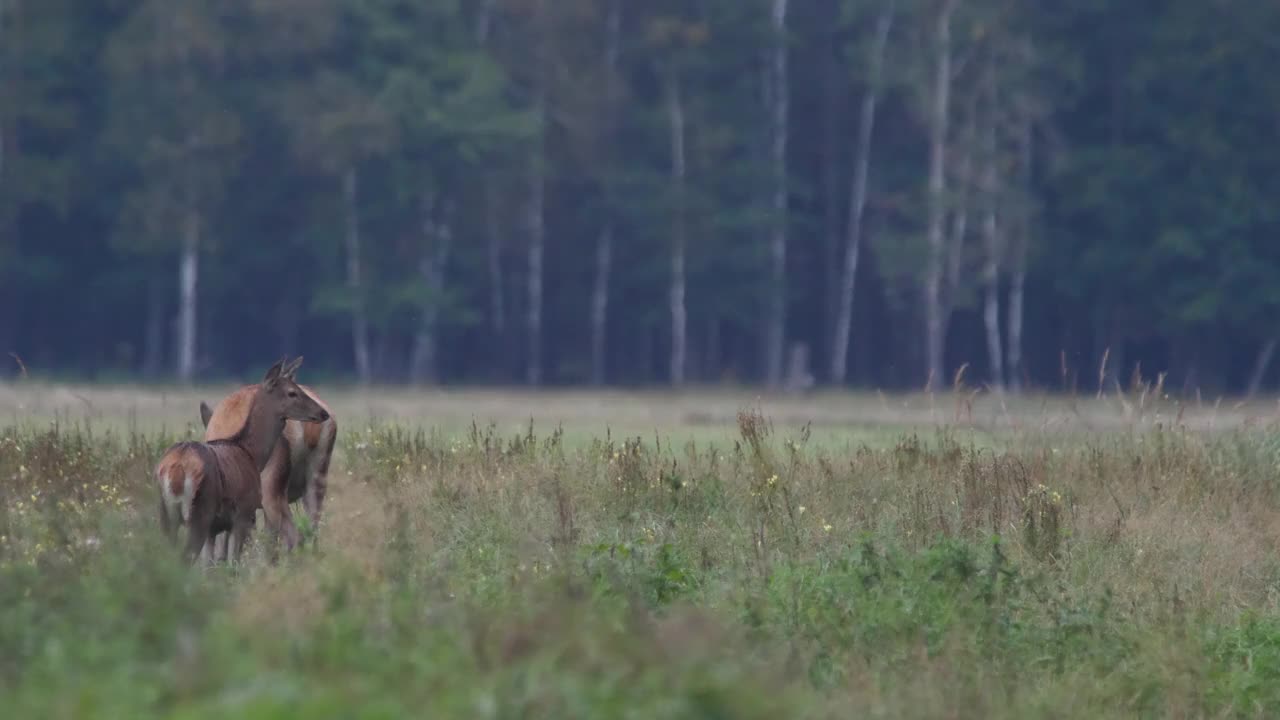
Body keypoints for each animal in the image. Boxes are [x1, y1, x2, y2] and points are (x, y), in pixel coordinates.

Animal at [155, 356, 330, 563]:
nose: (323, 413)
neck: (249, 452)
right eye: (292, 392)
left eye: (297, 388)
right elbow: (231, 561)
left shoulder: (220, 526)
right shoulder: (243, 515)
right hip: (202, 512)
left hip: (169, 515)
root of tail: (177, 471)